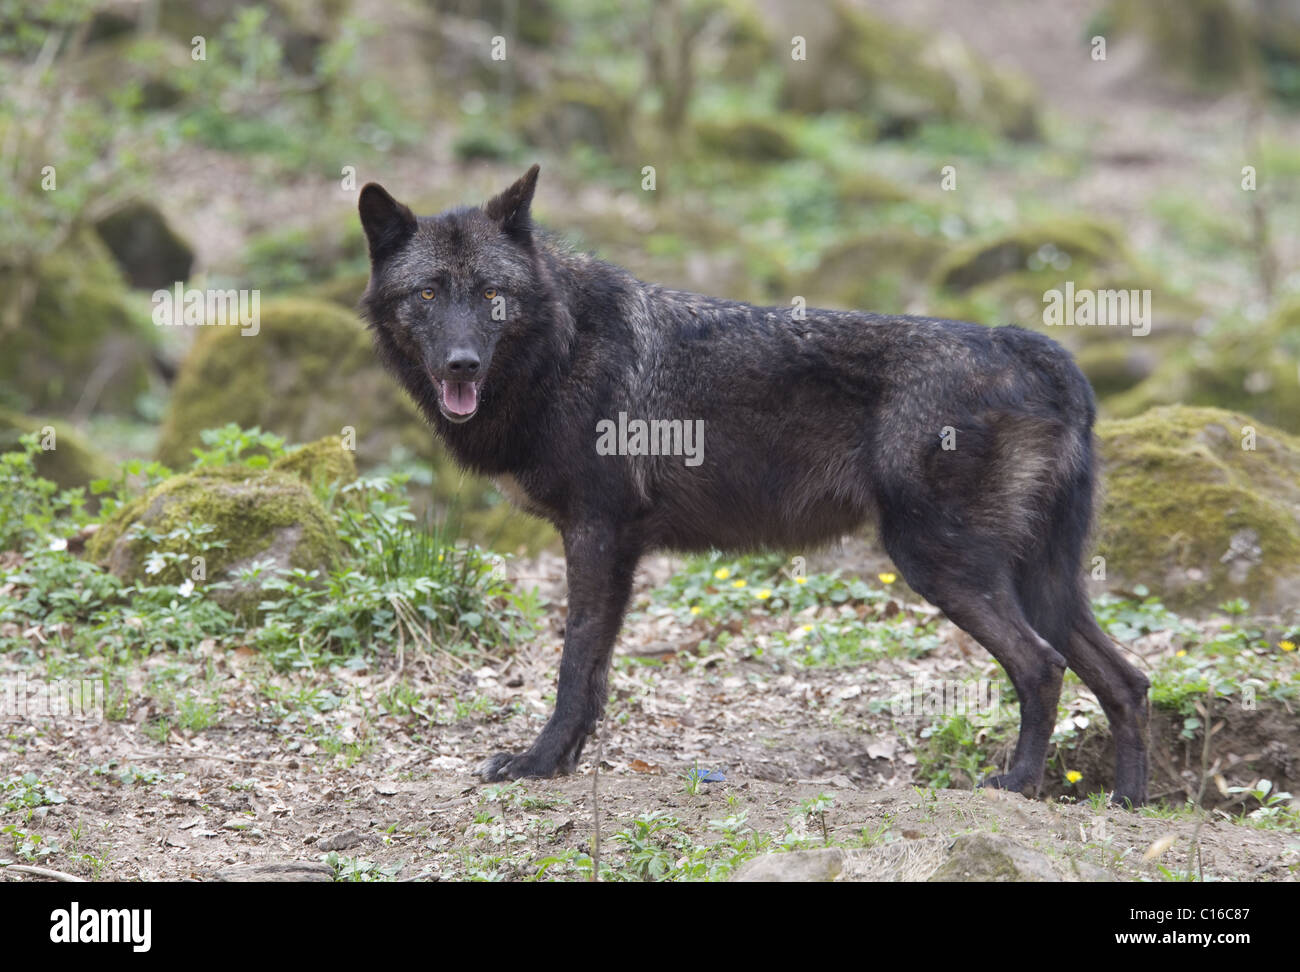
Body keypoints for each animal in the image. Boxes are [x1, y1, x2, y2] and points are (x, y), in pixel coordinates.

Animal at [356, 165, 1149, 805]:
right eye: (427, 292)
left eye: (492, 294)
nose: (461, 363)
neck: (563, 346)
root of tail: (1033, 346)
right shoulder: (614, 546)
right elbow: (597, 674)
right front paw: (566, 759)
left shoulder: (596, 533)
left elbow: (575, 665)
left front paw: (539, 763)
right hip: (1041, 582)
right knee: (1128, 680)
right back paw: (1130, 802)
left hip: (941, 565)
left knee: (1042, 667)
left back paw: (1018, 785)